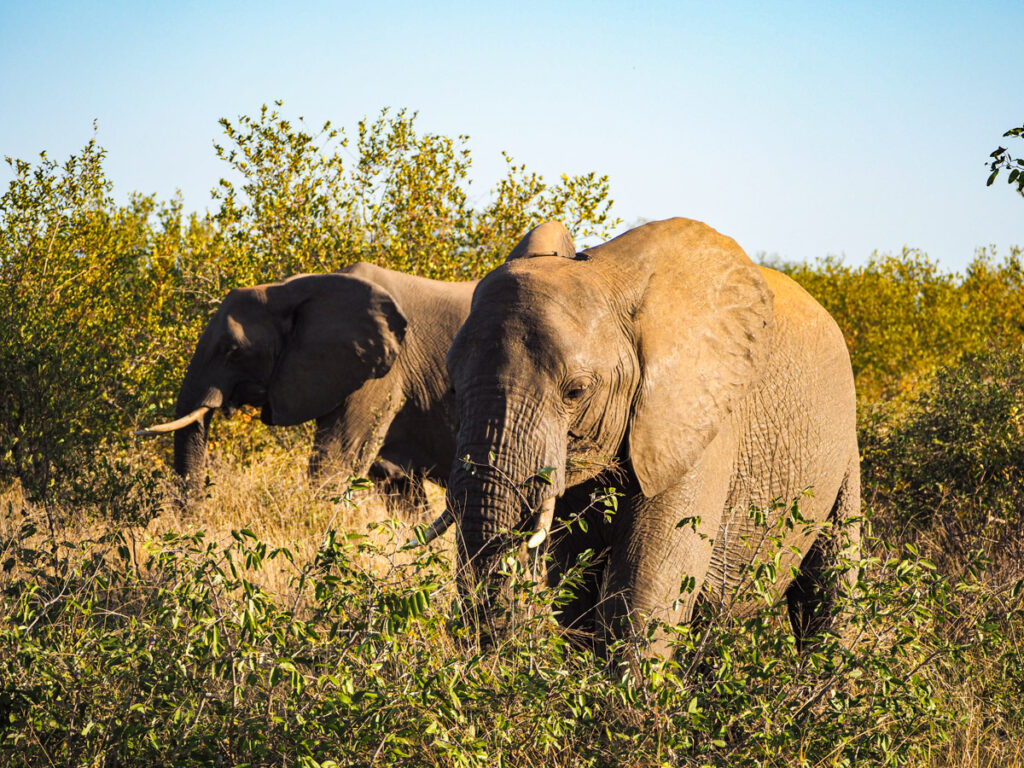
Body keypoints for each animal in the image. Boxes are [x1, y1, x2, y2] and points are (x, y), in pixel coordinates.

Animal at [136, 231, 581, 501]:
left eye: (232, 350)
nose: (195, 517)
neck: (295, 288)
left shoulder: (383, 373)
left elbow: (335, 463)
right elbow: (395, 484)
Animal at [419, 219, 860, 659]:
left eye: (576, 391)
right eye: (453, 387)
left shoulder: (697, 424)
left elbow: (645, 590)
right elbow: (576, 587)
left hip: (845, 450)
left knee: (831, 588)